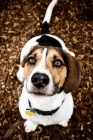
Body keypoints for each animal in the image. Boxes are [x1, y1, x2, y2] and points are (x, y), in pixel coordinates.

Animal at [17, 0, 81, 132]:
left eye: (58, 63)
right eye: (31, 60)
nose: (39, 79)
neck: (44, 106)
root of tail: (45, 34)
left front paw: (63, 122)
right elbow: (32, 120)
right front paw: (32, 124)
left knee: (69, 52)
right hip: (25, 49)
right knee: (21, 62)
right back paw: (20, 73)